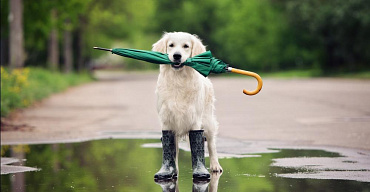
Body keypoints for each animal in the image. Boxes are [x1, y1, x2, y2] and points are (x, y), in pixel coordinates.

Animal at [151, 31, 221, 172]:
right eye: (171, 45)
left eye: (186, 46)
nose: (177, 56)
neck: (178, 79)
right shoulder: (167, 120)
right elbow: (171, 149)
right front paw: (171, 170)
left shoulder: (195, 120)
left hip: (208, 120)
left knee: (211, 143)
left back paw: (215, 165)